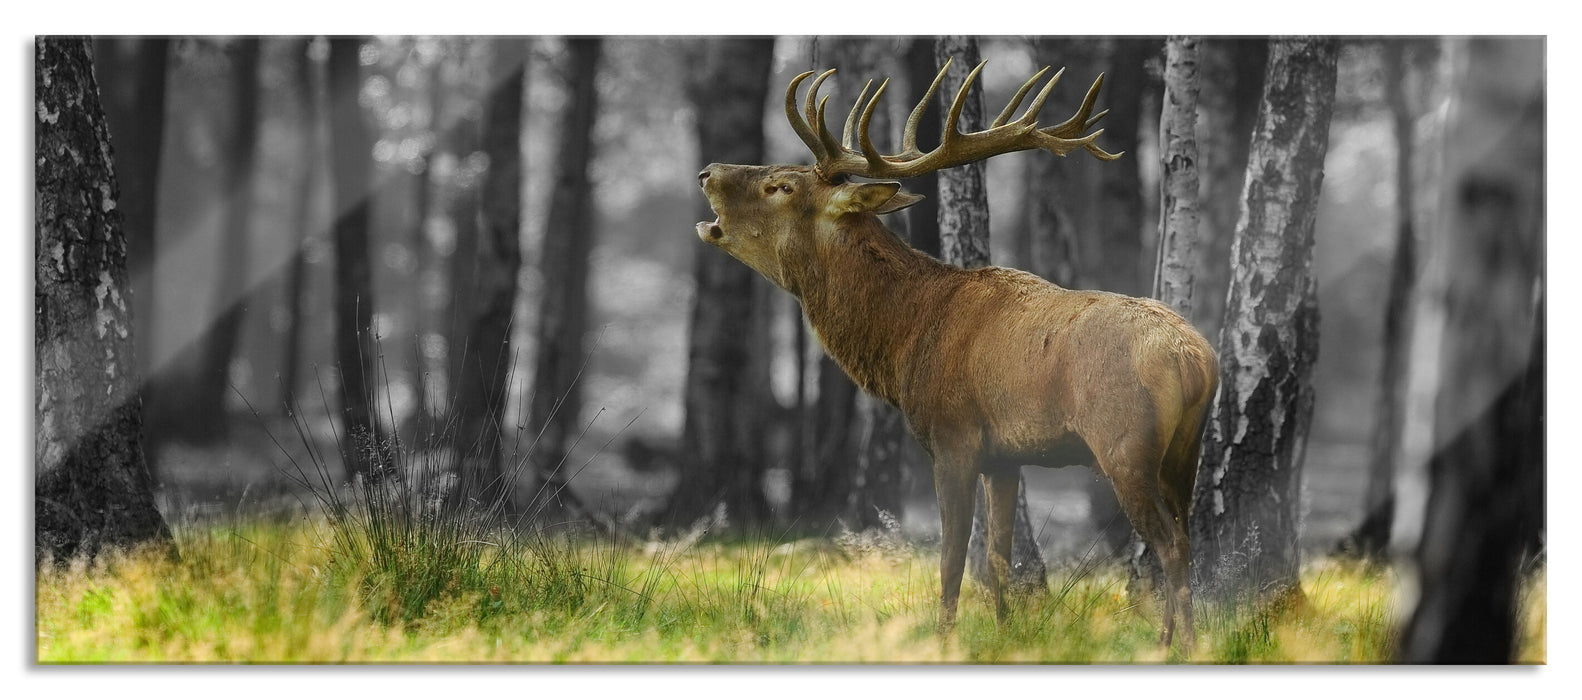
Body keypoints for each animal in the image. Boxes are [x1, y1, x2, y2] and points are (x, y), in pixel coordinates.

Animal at [693, 58, 1218, 649]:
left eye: (780, 185)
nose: (707, 171)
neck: (905, 340)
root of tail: (1196, 359)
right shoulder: (1006, 457)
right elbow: (998, 557)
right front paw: (1004, 634)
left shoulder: (953, 437)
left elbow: (951, 559)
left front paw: (943, 638)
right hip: (1185, 451)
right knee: (1186, 537)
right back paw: (1171, 640)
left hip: (1124, 443)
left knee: (1169, 543)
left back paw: (1180, 646)